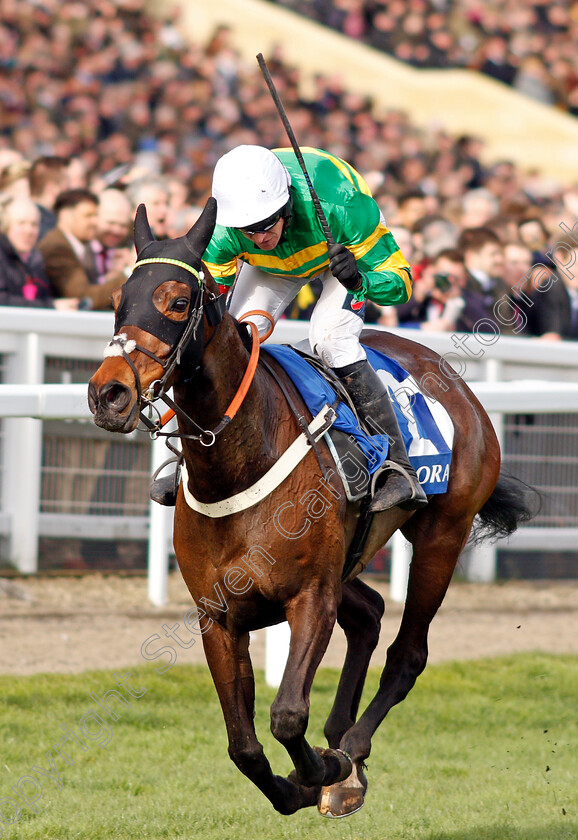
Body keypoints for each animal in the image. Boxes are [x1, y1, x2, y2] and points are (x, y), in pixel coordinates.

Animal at [88, 200, 532, 816]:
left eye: (176, 301)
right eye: (115, 302)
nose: (108, 395)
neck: (239, 461)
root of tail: (454, 383)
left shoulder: (310, 597)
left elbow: (286, 715)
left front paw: (327, 768)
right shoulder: (218, 616)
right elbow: (243, 745)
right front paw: (297, 784)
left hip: (442, 534)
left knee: (408, 653)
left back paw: (352, 750)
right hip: (350, 555)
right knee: (369, 614)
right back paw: (342, 744)